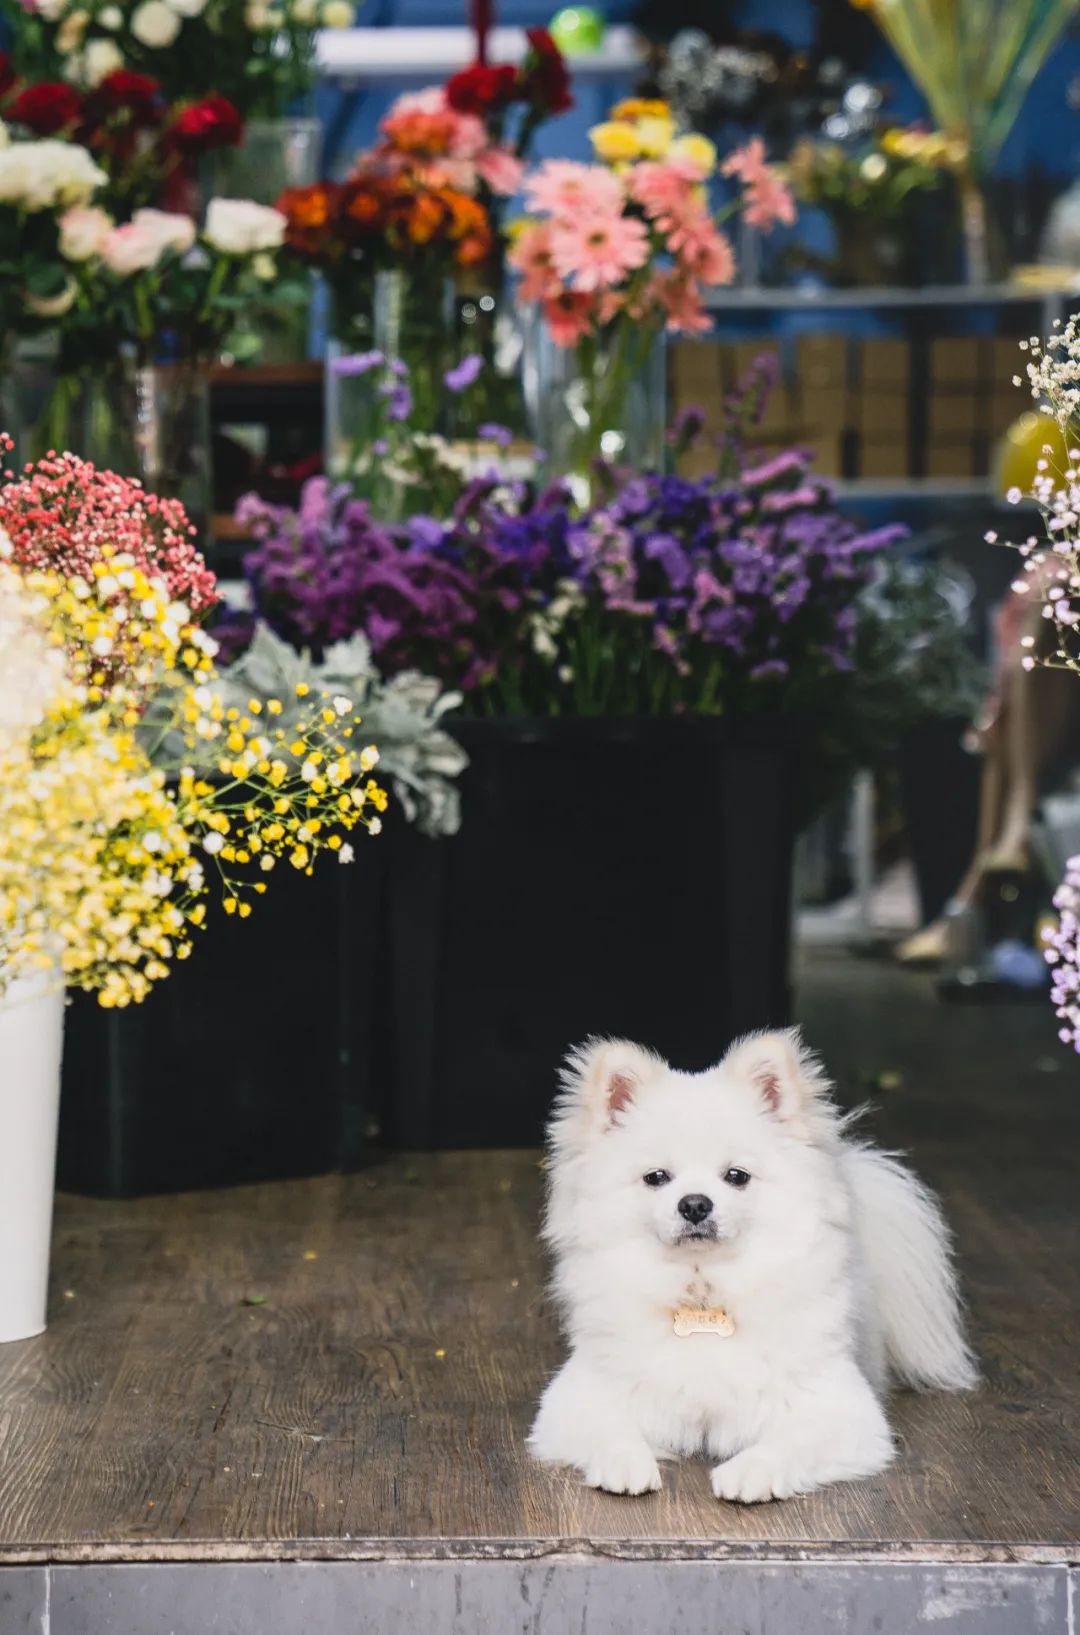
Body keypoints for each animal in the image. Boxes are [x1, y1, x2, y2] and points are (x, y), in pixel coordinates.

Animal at [529, 1026, 980, 1497]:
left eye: (736, 1176)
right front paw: (626, 1463)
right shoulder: (576, 1396)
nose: (695, 1204)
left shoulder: (842, 1409)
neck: (704, 1294)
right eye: (656, 1178)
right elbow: (607, 1430)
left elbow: (791, 1441)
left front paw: (751, 1473)